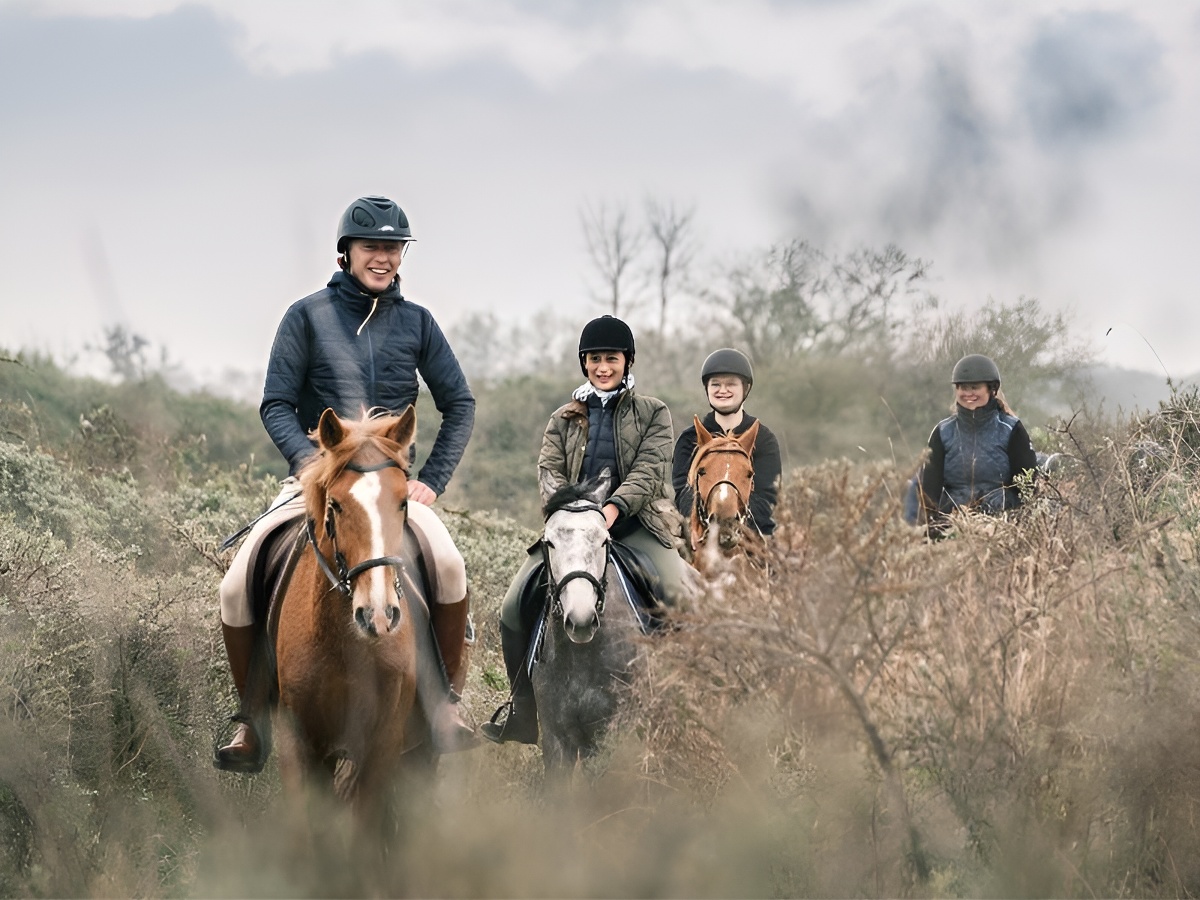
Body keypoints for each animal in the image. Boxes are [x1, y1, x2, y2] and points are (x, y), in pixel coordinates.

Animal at [270, 406, 431, 823]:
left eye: (403, 502)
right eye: (336, 505)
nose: (378, 615)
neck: (345, 645)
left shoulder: (382, 744)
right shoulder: (301, 742)